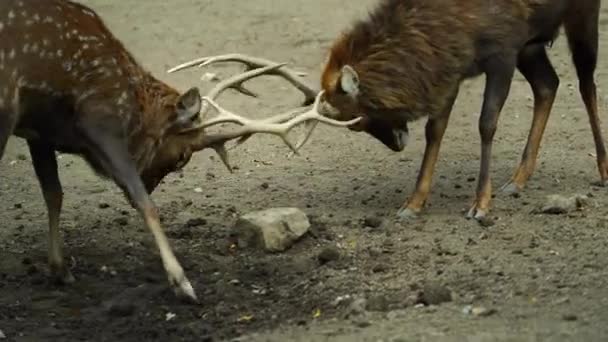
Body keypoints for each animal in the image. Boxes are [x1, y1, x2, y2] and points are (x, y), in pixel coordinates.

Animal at [0, 0, 360, 302]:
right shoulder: (98, 118)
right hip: (6, 103)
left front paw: (60, 269)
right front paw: (182, 282)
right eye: (182, 157)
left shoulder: (40, 131)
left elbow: (54, 193)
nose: (151, 182)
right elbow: (144, 204)